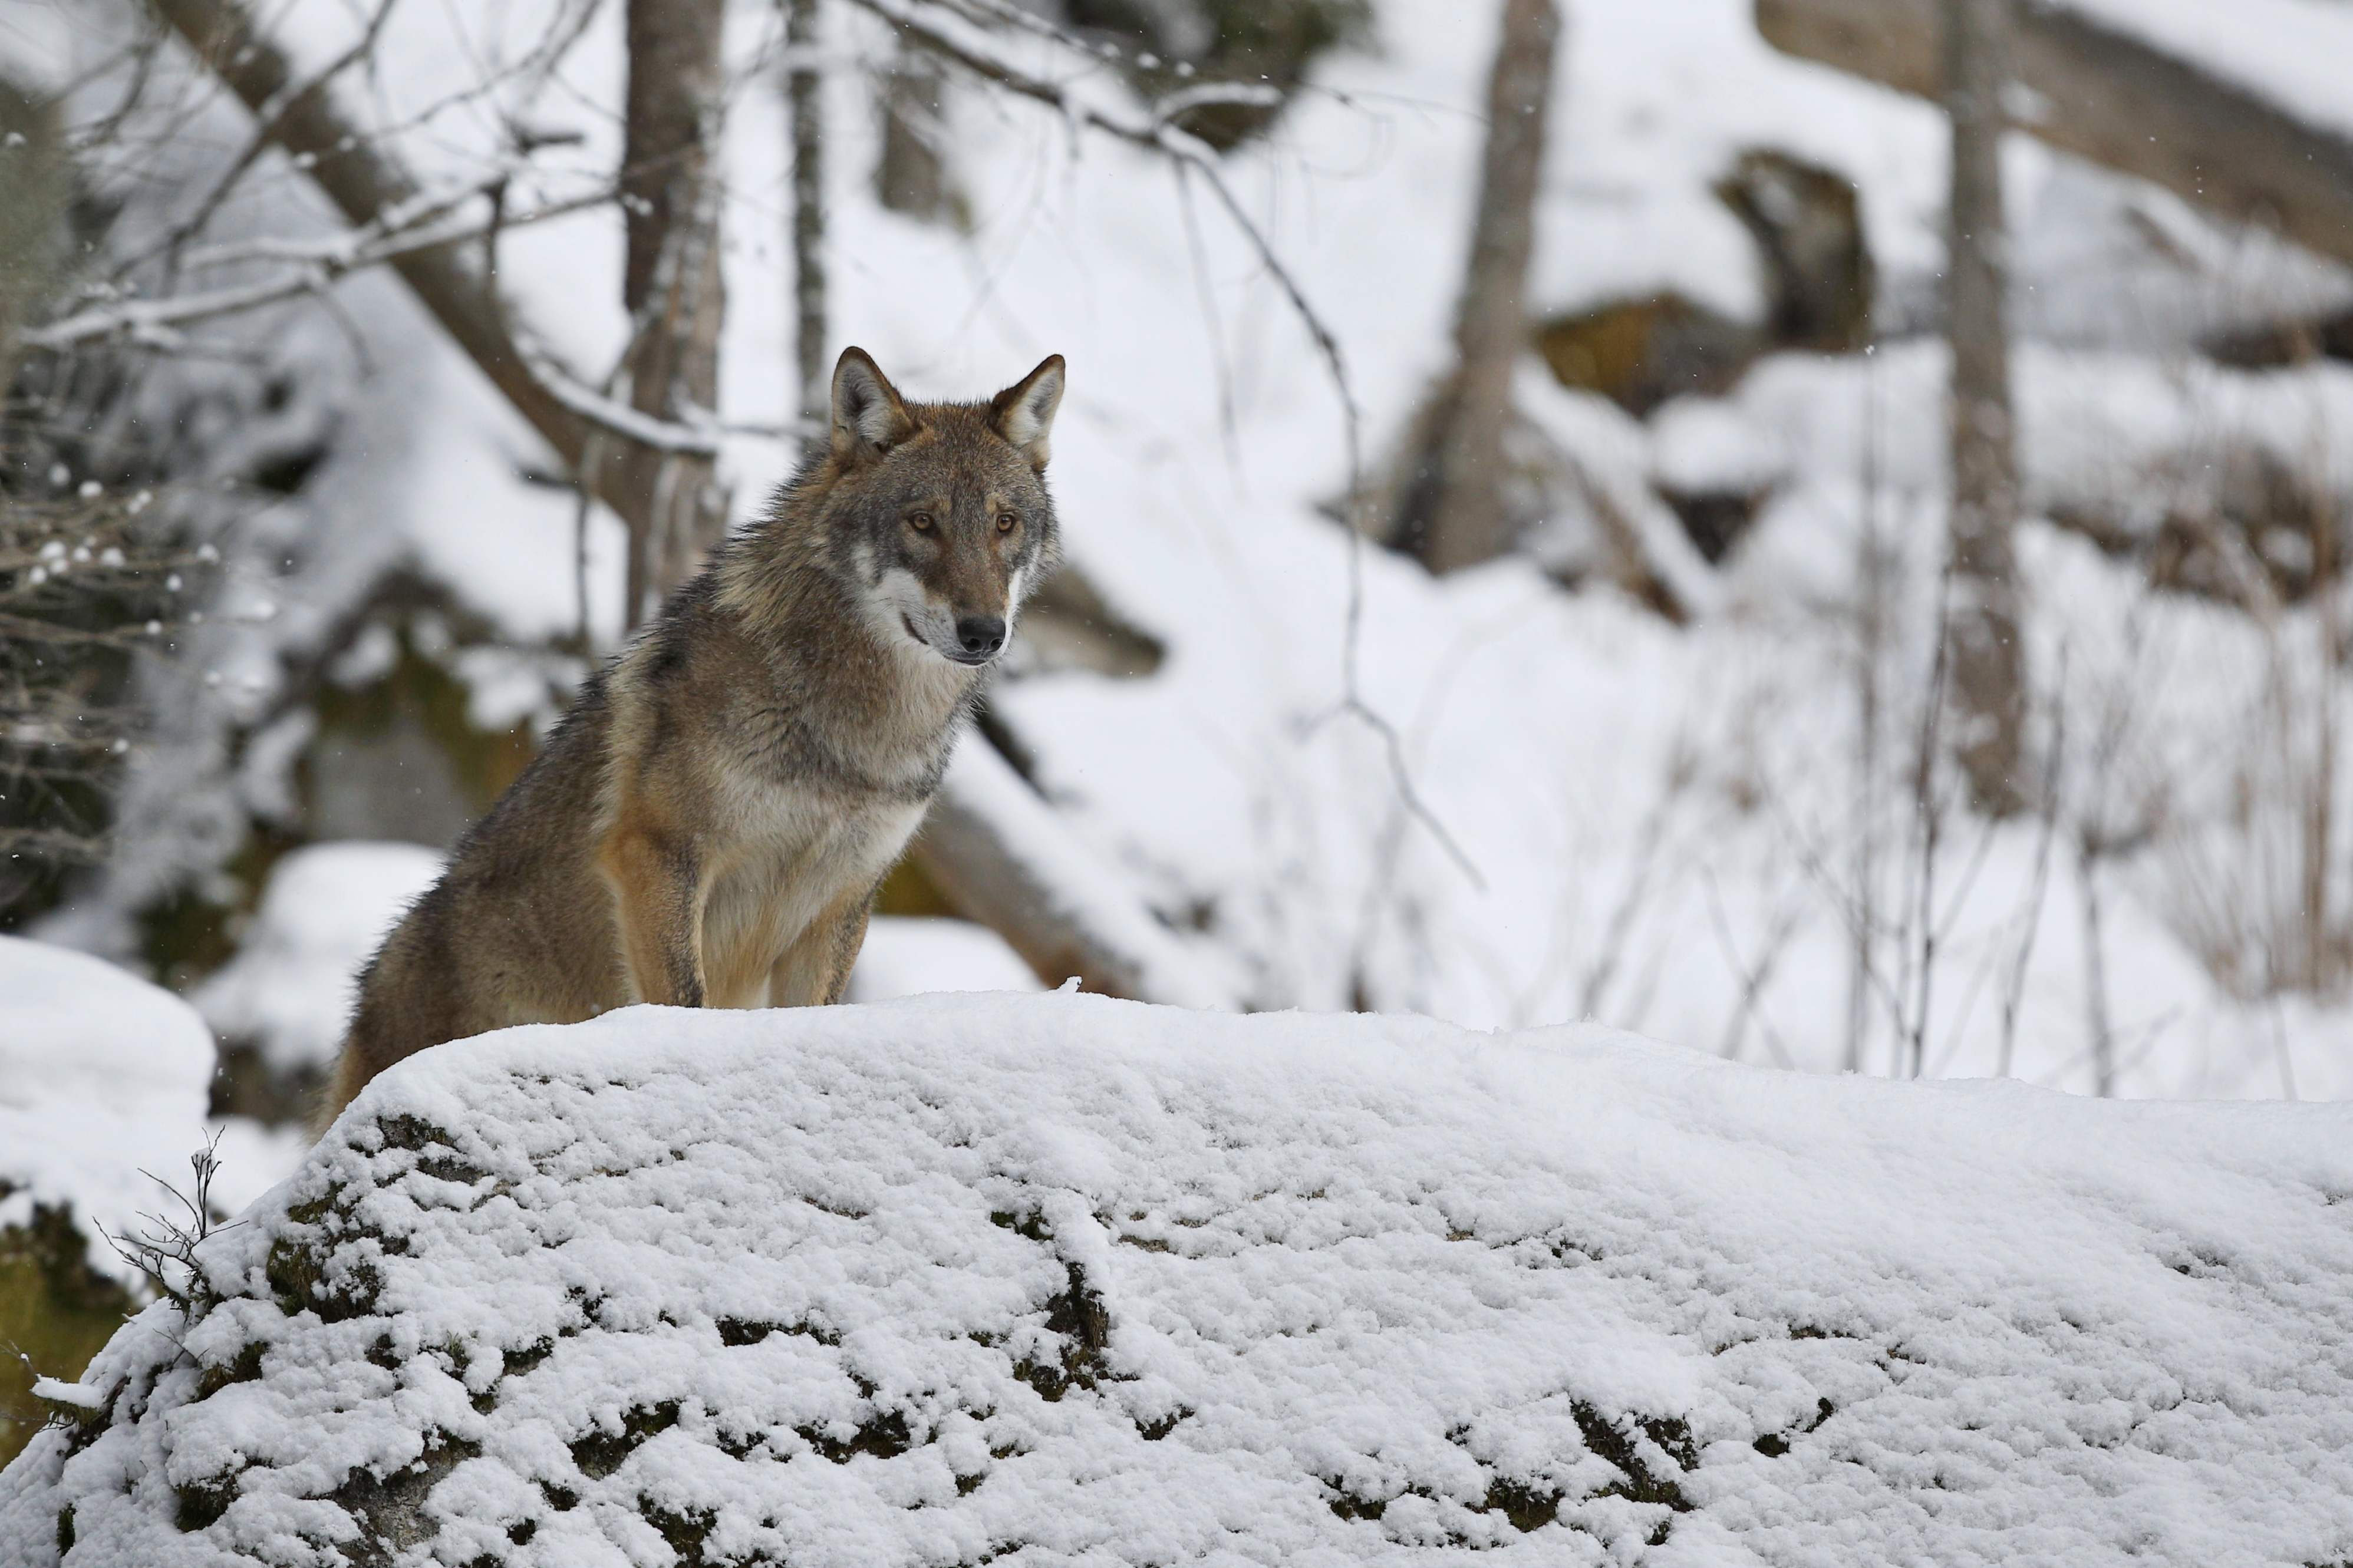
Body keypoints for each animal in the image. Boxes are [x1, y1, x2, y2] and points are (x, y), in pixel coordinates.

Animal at [324, 345, 1068, 1128]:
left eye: (1004, 523)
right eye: (922, 522)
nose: (983, 631)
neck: (854, 734)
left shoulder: (839, 905)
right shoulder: (659, 855)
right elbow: (684, 1002)